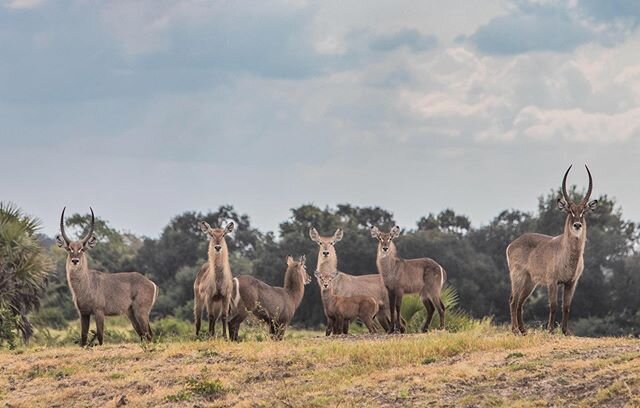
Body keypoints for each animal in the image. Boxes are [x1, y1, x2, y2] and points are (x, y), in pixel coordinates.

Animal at [56, 209, 159, 346]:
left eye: (82, 249)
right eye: (69, 249)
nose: (75, 261)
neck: (86, 284)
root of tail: (151, 283)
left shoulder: (99, 311)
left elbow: (100, 337)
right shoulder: (83, 313)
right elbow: (83, 338)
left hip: (141, 312)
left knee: (148, 334)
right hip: (131, 313)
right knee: (143, 334)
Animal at [508, 165, 596, 334]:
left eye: (583, 211)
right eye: (570, 211)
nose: (577, 225)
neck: (566, 254)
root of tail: (512, 244)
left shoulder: (571, 283)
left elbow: (566, 306)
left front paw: (565, 331)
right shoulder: (552, 281)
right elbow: (553, 306)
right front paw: (550, 330)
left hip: (530, 281)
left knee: (520, 302)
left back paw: (523, 330)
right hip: (518, 276)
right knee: (513, 300)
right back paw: (515, 330)